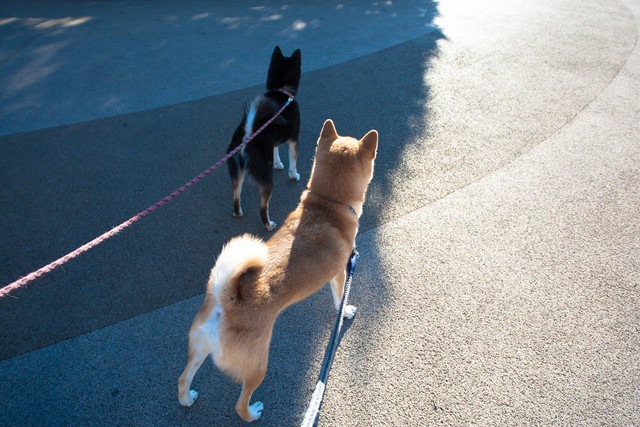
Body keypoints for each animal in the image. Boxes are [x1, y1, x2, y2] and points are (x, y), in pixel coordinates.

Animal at [180, 119, 378, 422]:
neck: (328, 204)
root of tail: (226, 301)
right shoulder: (340, 273)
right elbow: (339, 299)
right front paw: (345, 311)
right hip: (258, 365)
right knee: (240, 404)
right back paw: (253, 412)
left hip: (198, 349)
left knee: (183, 379)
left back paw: (187, 398)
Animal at [228, 46, 302, 231]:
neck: (282, 90)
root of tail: (248, 134)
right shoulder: (294, 140)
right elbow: (293, 162)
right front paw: (293, 175)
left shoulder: (273, 142)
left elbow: (275, 152)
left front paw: (278, 164)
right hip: (266, 179)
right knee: (263, 207)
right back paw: (269, 224)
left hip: (237, 172)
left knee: (236, 195)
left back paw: (238, 212)